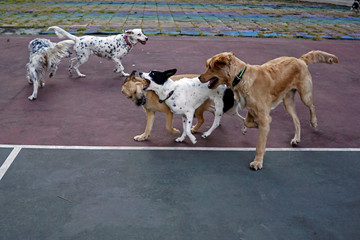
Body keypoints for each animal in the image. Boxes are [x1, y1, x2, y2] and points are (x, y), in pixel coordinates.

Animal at [200, 50, 338, 171]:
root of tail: (300, 60)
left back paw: (314, 122)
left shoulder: (263, 115)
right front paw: (254, 126)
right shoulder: (252, 110)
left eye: (210, 67)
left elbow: (260, 144)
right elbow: (247, 122)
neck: (241, 77)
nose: (200, 77)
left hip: (305, 95)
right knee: (297, 120)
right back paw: (296, 139)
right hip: (287, 102)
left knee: (312, 106)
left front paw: (257, 162)